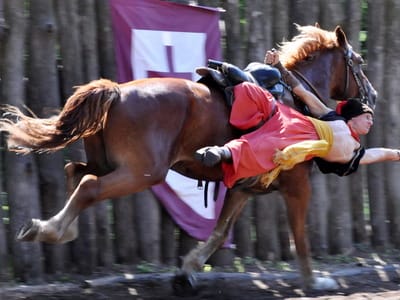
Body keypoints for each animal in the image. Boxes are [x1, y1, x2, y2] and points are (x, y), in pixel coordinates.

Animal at [0, 25, 376, 292]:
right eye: (357, 62)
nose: (371, 95)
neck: (295, 100)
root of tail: (117, 92)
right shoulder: (297, 185)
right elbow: (300, 235)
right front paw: (314, 281)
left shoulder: (242, 187)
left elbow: (219, 231)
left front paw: (188, 269)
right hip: (142, 172)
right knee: (90, 185)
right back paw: (50, 230)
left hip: (111, 163)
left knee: (75, 172)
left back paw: (57, 228)